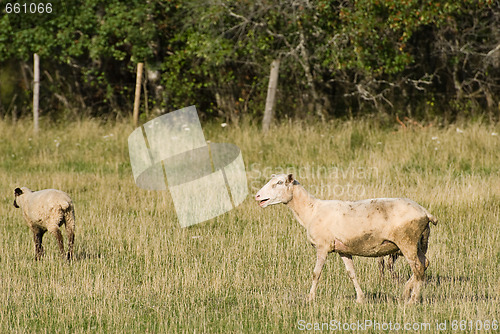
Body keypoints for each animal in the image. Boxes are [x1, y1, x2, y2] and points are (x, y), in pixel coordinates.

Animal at [256, 175, 436, 306]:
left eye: (279, 183)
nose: (257, 196)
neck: (311, 210)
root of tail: (425, 212)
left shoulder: (322, 246)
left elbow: (316, 274)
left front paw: (310, 298)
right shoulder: (343, 250)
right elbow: (352, 274)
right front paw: (360, 298)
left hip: (407, 240)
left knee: (418, 268)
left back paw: (412, 300)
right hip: (418, 243)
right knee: (424, 264)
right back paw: (406, 293)